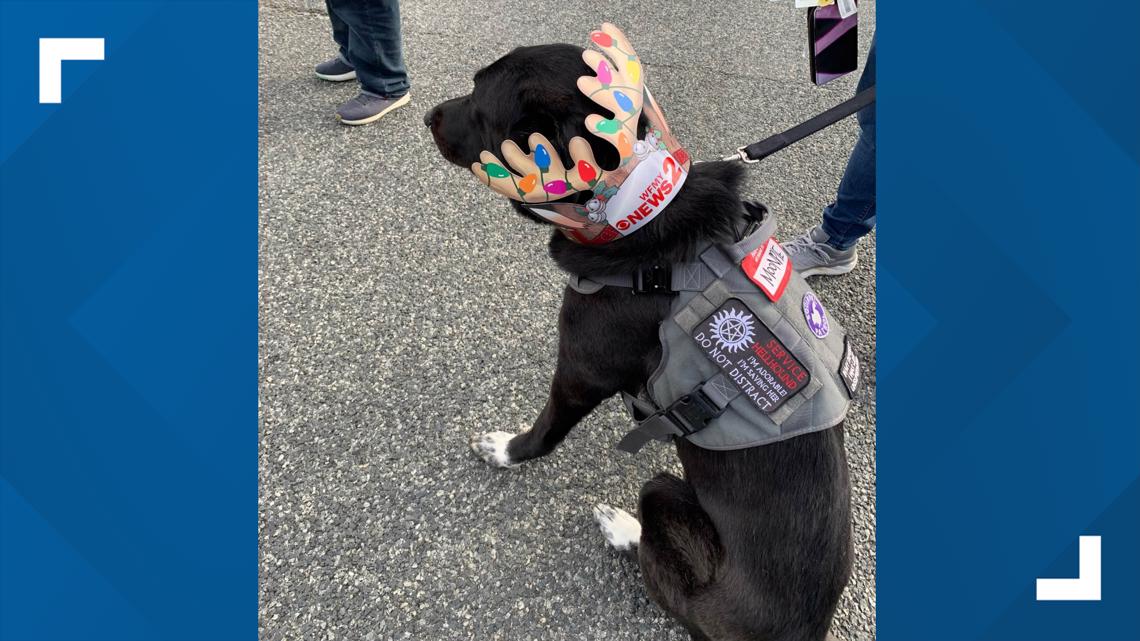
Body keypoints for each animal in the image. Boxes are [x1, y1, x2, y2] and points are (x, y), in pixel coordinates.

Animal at [426, 42, 848, 634]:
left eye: (479, 105)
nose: (428, 116)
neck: (637, 210)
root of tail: (805, 628)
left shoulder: (580, 373)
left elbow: (545, 431)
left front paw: (507, 451)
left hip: (663, 497)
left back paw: (621, 527)